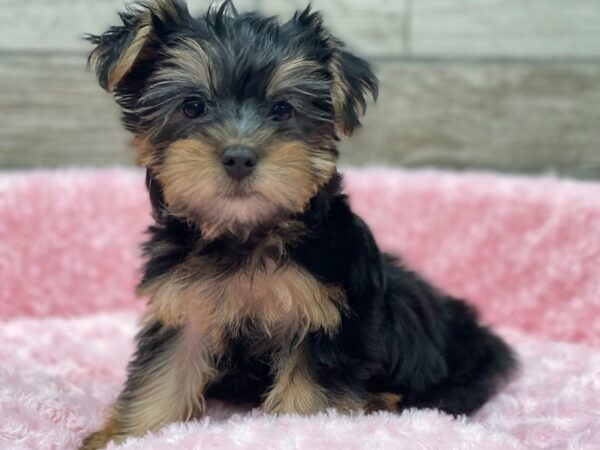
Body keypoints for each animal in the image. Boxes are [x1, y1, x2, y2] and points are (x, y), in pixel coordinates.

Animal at [81, 1, 516, 448]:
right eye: (193, 106)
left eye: (282, 110)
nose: (239, 157)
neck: (245, 233)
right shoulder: (184, 307)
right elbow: (163, 375)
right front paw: (129, 436)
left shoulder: (326, 319)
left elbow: (309, 400)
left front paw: (300, 432)